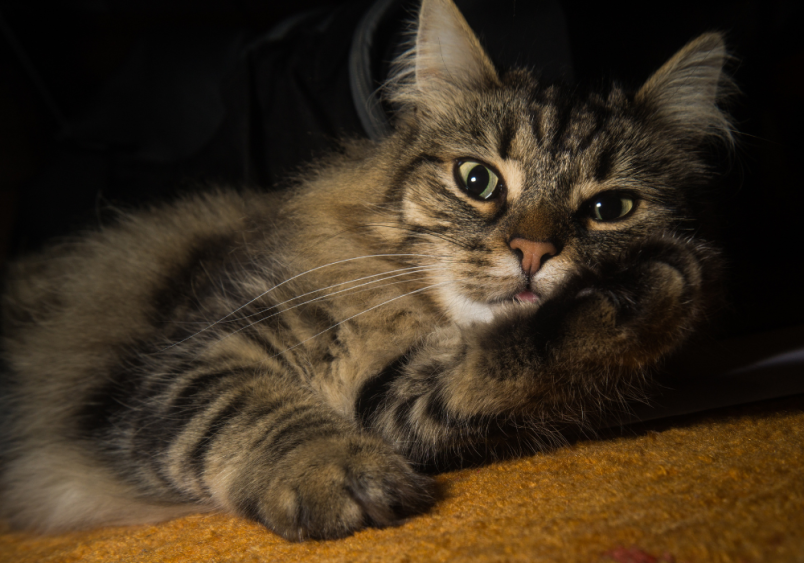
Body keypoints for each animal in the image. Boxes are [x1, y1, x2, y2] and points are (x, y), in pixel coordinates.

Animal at [0, 0, 732, 544]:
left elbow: (502, 371)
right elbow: (259, 410)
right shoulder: (184, 363)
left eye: (611, 208)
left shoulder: (396, 403)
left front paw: (643, 295)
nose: (532, 252)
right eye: (477, 180)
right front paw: (334, 475)